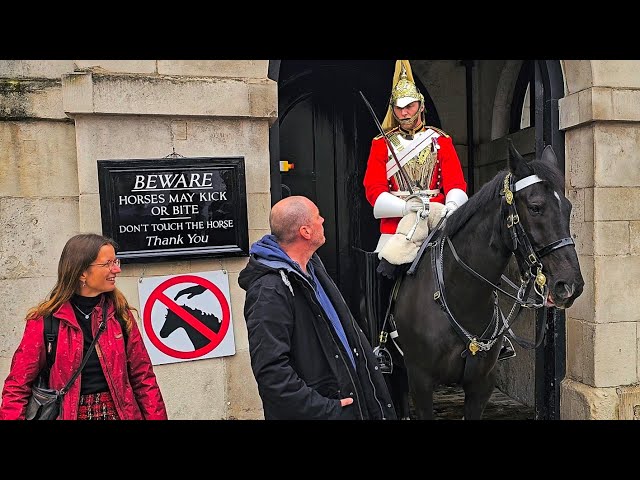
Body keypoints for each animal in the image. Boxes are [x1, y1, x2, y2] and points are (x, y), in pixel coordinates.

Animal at [392, 141, 584, 418]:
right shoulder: (421, 383)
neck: (457, 297)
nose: (570, 285)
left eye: (568, 208)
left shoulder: (480, 385)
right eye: (536, 207)